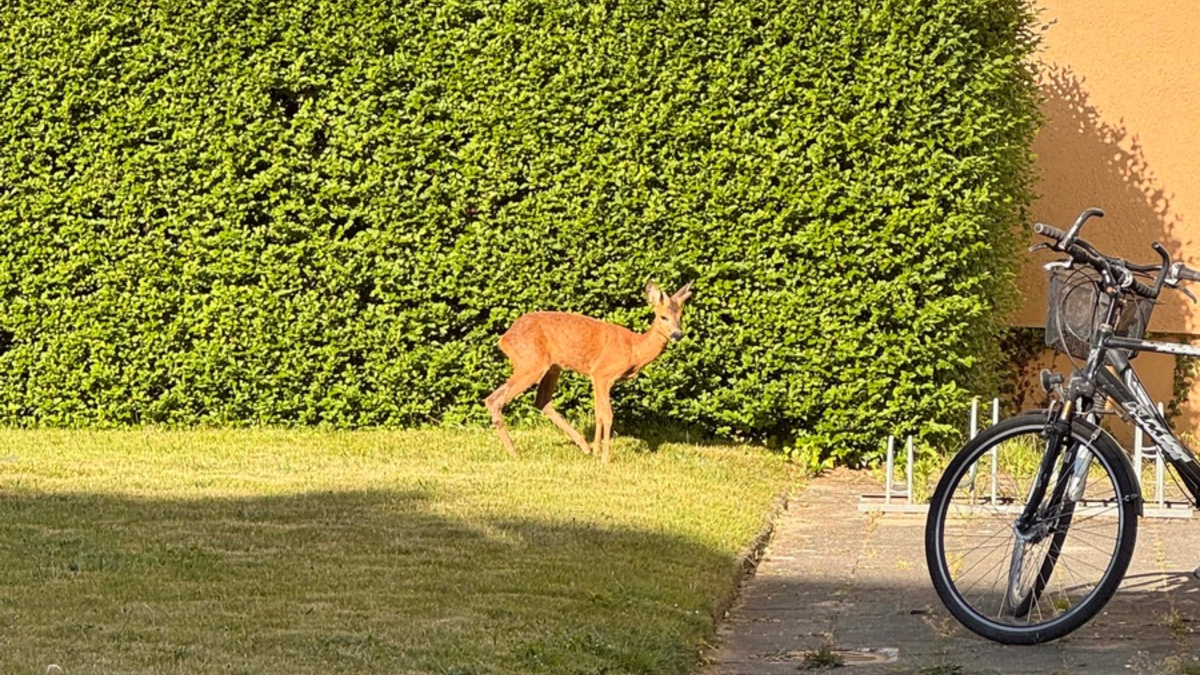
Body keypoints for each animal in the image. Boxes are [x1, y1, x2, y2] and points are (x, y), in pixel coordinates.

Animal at [485, 281, 694, 463]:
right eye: (663, 317)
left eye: (681, 317)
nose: (677, 334)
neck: (634, 349)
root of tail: (504, 339)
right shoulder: (603, 373)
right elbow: (607, 414)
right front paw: (605, 458)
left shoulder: (595, 377)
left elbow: (598, 412)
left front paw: (596, 451)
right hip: (530, 362)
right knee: (495, 399)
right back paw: (514, 452)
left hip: (551, 366)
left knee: (540, 400)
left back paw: (584, 446)